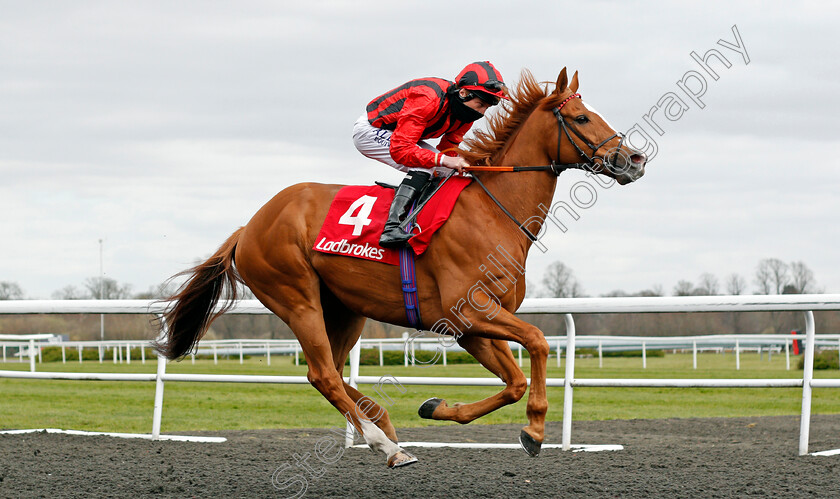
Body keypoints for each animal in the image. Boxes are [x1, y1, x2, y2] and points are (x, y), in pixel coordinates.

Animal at [154, 68, 648, 470]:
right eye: (581, 118)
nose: (635, 159)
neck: (492, 212)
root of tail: (249, 226)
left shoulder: (468, 326)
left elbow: (515, 380)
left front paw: (437, 407)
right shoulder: (471, 310)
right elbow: (540, 342)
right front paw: (535, 430)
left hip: (345, 309)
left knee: (329, 372)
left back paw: (384, 427)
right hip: (296, 298)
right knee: (323, 374)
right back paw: (385, 444)